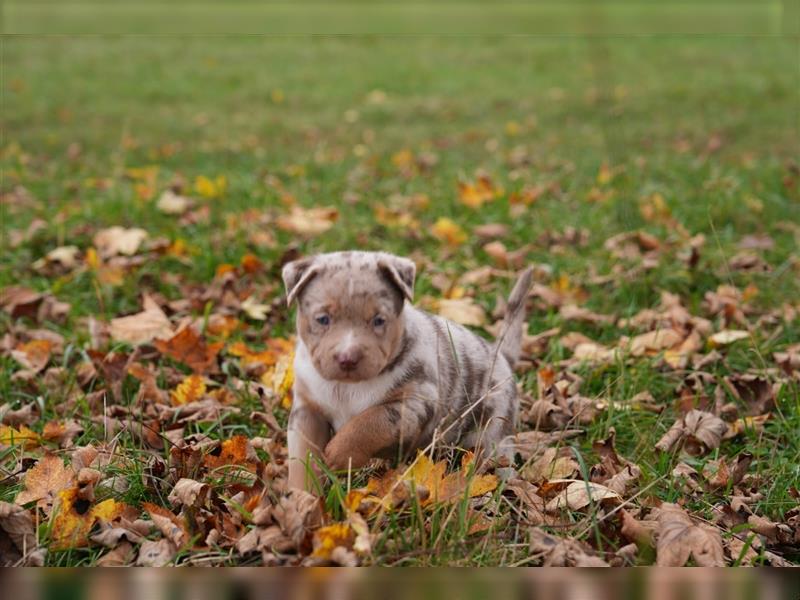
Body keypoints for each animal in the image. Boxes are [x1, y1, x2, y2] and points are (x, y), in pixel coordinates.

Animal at [282, 251, 532, 490]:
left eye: (379, 320)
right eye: (322, 319)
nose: (348, 358)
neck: (345, 387)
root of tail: (500, 354)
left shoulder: (414, 403)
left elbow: (370, 422)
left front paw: (339, 454)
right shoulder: (307, 413)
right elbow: (302, 462)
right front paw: (302, 499)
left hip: (495, 431)